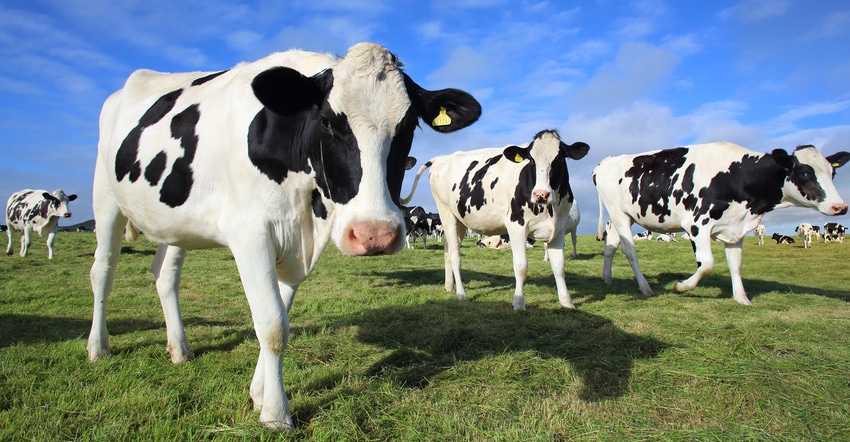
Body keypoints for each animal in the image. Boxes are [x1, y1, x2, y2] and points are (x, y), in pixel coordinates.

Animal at [88, 41, 484, 428]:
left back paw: (179, 348)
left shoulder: (296, 245)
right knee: (102, 270)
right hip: (105, 198)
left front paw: (259, 393)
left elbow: (280, 314)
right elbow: (273, 325)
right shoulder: (249, 234)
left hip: (175, 222)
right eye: (327, 122)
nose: (374, 235)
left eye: (409, 126)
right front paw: (276, 415)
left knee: (165, 275)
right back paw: (98, 347)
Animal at [400, 129, 588, 310]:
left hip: (460, 220)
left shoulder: (558, 229)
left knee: (448, 248)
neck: (549, 209)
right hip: (446, 213)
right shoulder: (517, 226)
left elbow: (559, 268)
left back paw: (449, 286)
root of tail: (442, 158)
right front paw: (518, 303)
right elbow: (521, 267)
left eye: (559, 159)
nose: (541, 194)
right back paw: (461, 294)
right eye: (531, 161)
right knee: (454, 255)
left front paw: (567, 302)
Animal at [588, 143, 848, 306]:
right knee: (629, 250)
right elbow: (707, 265)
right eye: (805, 173)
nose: (840, 207)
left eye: (832, 174)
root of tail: (606, 162)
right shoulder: (697, 224)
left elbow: (736, 265)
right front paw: (681, 287)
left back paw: (607, 278)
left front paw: (742, 299)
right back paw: (645, 288)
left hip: (622, 216)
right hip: (620, 215)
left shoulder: (737, 228)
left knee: (611, 246)